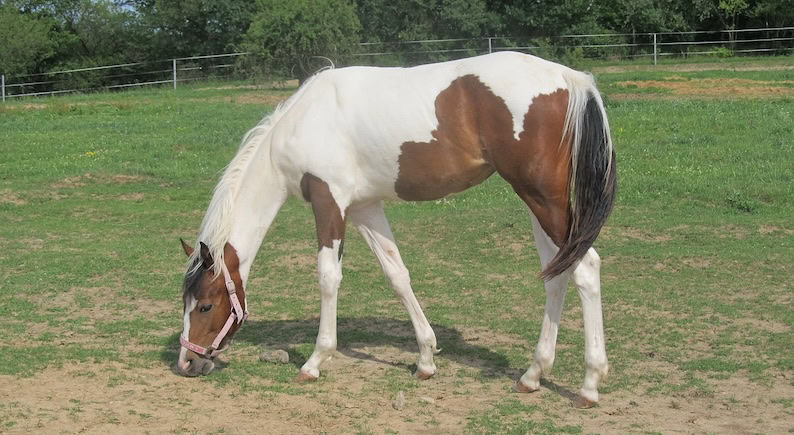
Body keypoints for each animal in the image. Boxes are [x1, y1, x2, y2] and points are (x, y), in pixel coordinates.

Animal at [176, 51, 616, 408]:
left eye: (206, 305)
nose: (187, 362)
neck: (304, 122)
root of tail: (570, 78)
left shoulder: (329, 202)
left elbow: (328, 277)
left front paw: (315, 361)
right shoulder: (364, 207)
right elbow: (397, 274)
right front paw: (425, 359)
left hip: (542, 198)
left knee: (586, 267)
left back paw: (589, 385)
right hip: (536, 201)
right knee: (556, 274)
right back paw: (533, 374)